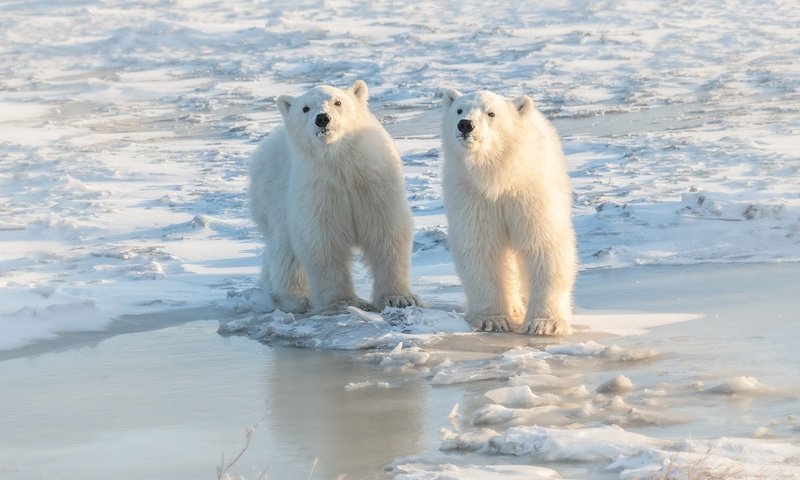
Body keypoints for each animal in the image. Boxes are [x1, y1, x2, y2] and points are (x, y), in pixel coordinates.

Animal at [250, 80, 422, 314]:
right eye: (305, 108)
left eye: (338, 102)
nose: (322, 118)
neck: (340, 163)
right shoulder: (319, 190)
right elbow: (322, 240)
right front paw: (346, 302)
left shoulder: (374, 184)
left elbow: (387, 232)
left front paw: (400, 298)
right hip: (272, 196)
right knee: (284, 248)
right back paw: (295, 298)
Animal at [444, 91, 576, 338]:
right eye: (459, 109)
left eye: (491, 113)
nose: (465, 125)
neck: (500, 177)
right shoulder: (473, 197)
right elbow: (480, 247)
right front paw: (492, 320)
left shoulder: (530, 191)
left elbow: (543, 244)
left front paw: (545, 323)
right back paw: (513, 306)